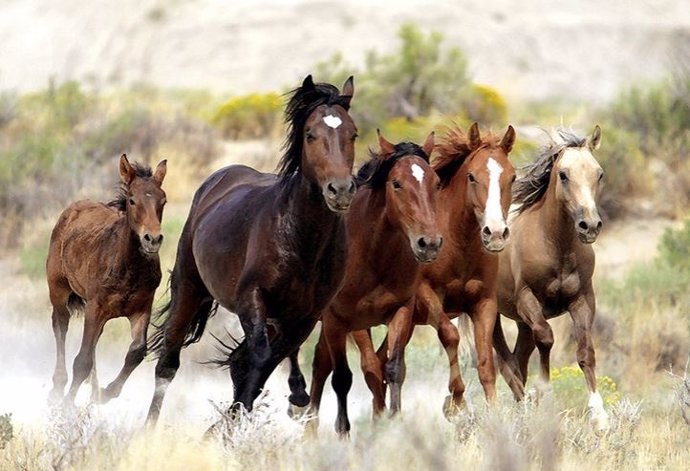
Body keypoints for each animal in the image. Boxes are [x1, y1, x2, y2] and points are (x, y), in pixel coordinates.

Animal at [46, 155, 167, 406]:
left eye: (163, 200)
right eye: (132, 200)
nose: (152, 239)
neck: (127, 268)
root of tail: (72, 209)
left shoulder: (142, 308)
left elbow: (136, 352)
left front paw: (106, 393)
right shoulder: (95, 307)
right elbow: (82, 360)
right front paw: (67, 406)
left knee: (93, 343)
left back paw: (93, 390)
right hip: (59, 289)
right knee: (60, 324)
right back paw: (58, 387)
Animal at [147, 76, 358, 424]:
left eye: (353, 133)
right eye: (310, 134)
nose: (340, 191)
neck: (301, 241)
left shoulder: (305, 316)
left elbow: (261, 364)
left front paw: (230, 423)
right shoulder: (252, 298)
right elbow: (259, 358)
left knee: (241, 361)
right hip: (190, 288)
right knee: (168, 362)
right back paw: (148, 428)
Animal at [292, 131, 438, 436]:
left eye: (436, 182)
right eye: (397, 183)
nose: (429, 244)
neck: (373, 254)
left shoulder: (401, 311)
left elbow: (393, 368)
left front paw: (391, 422)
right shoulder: (345, 321)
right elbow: (353, 374)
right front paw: (344, 432)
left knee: (321, 364)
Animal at [408, 122, 516, 416]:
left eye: (512, 177)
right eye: (471, 177)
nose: (496, 233)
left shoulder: (484, 303)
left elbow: (486, 363)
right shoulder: (427, 297)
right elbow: (450, 336)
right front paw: (455, 402)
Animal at [490, 125, 608, 432]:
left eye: (599, 173)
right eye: (563, 174)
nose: (590, 226)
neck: (557, 247)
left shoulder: (583, 300)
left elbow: (585, 351)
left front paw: (599, 415)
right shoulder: (527, 299)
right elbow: (546, 338)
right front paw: (544, 394)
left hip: (521, 324)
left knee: (517, 361)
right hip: (489, 313)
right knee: (504, 363)